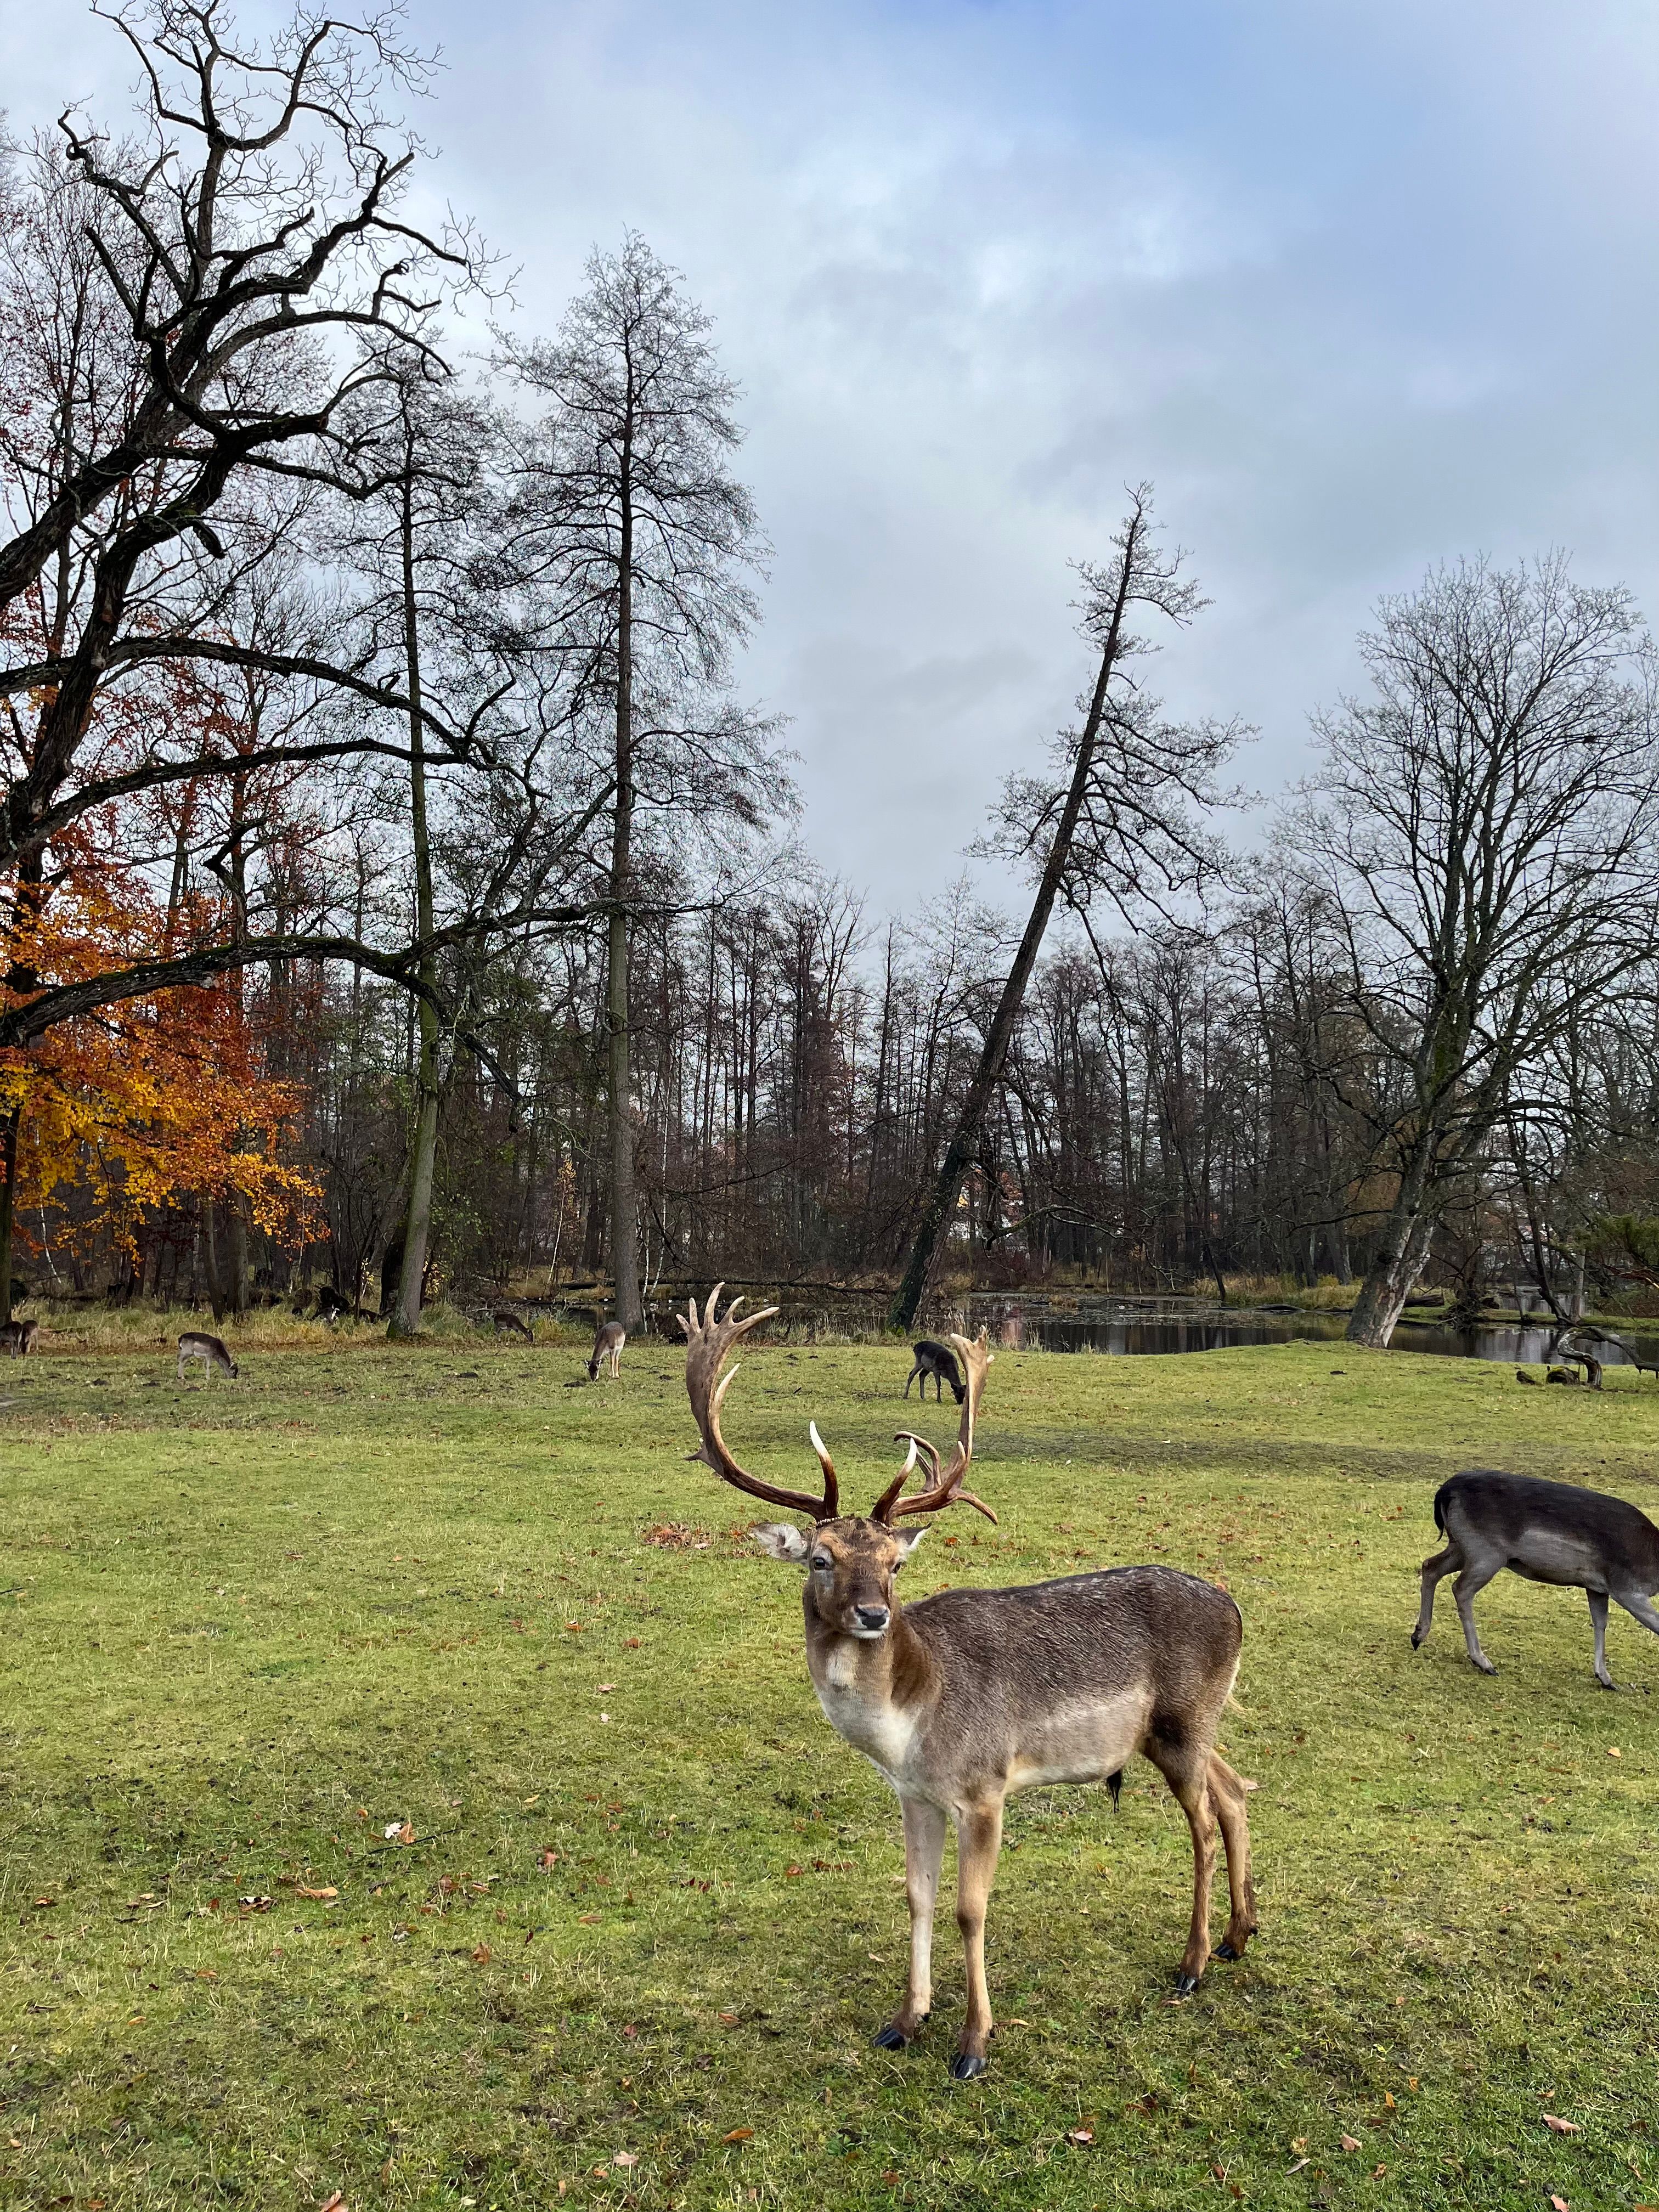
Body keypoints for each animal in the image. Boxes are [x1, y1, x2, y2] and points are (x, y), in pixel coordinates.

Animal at [678, 1287, 1257, 2079]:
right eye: (821, 1560)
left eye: (895, 1564)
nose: (872, 1614)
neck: (910, 1728)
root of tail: (1237, 1611)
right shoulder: (914, 1796)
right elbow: (917, 1899)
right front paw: (905, 2021)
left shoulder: (985, 1787)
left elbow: (968, 1909)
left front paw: (974, 2043)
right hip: (1183, 1728)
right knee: (1234, 1791)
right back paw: (1240, 1934)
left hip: (1182, 1723)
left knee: (1200, 1826)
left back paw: (1193, 1963)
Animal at [1412, 1469, 1659, 1689]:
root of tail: (1445, 1491)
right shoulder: (1627, 1588)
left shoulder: (1597, 1588)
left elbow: (1600, 1622)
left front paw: (1605, 1678)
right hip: (1486, 1552)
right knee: (1461, 1588)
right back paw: (1484, 1662)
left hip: (1461, 1547)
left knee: (1430, 1566)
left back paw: (1418, 1636)